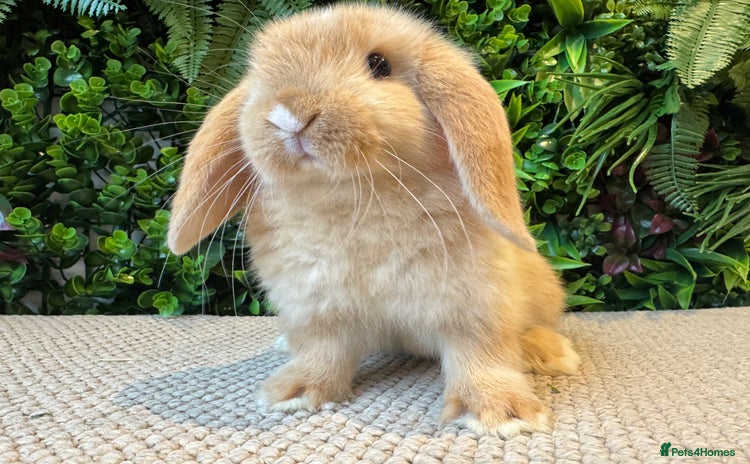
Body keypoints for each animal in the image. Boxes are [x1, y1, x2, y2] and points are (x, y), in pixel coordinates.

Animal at [166, 3, 581, 437]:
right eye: (259, 72)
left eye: (379, 64)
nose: (289, 114)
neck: (352, 198)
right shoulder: (317, 310)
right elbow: (323, 352)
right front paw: (296, 392)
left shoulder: (474, 306)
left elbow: (481, 353)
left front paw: (500, 414)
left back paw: (547, 352)